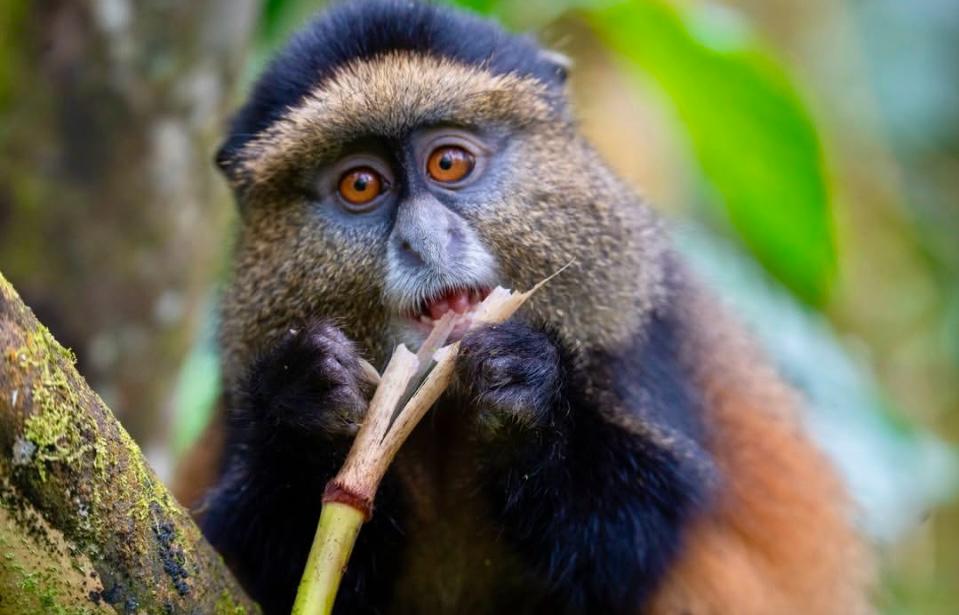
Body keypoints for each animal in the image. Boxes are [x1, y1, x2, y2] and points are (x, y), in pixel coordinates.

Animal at [173, 1, 872, 613]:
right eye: (361, 184)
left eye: (448, 162)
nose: (424, 239)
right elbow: (252, 559)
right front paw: (307, 398)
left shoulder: (635, 339)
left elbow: (632, 537)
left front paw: (524, 389)